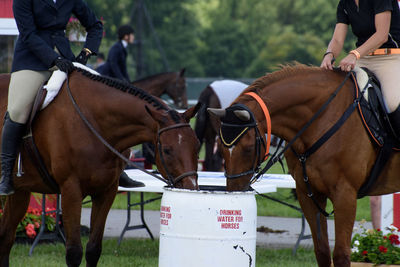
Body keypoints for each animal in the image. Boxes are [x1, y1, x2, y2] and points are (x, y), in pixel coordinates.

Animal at [0, 67, 200, 267]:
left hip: (20, 191)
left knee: (6, 237)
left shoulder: (106, 192)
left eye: (197, 145)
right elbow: (74, 252)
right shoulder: (71, 191)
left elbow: (93, 249)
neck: (94, 122)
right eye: (167, 150)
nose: (191, 188)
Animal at [208, 65, 400, 267]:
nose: (234, 191)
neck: (322, 119)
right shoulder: (308, 193)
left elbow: (341, 255)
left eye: (248, 148)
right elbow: (322, 251)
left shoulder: (345, 194)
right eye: (221, 147)